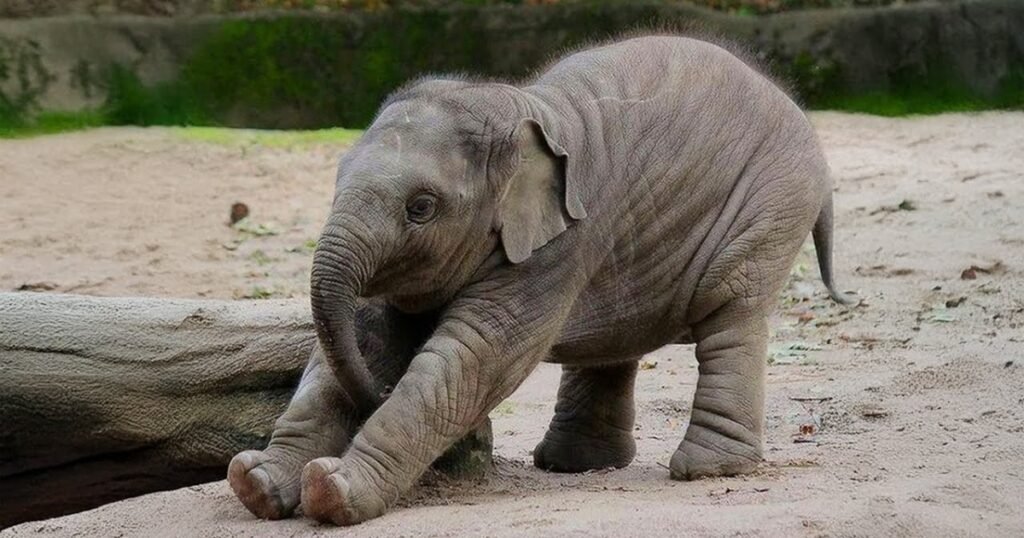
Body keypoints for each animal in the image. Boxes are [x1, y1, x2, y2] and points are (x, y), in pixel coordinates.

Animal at [227, 34, 852, 526]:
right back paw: (574, 465)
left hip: (770, 203)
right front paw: (255, 484)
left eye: (421, 208)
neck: (516, 106)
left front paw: (332, 490)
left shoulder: (562, 244)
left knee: (732, 315)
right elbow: (369, 335)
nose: (375, 394)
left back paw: (705, 470)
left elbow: (477, 354)